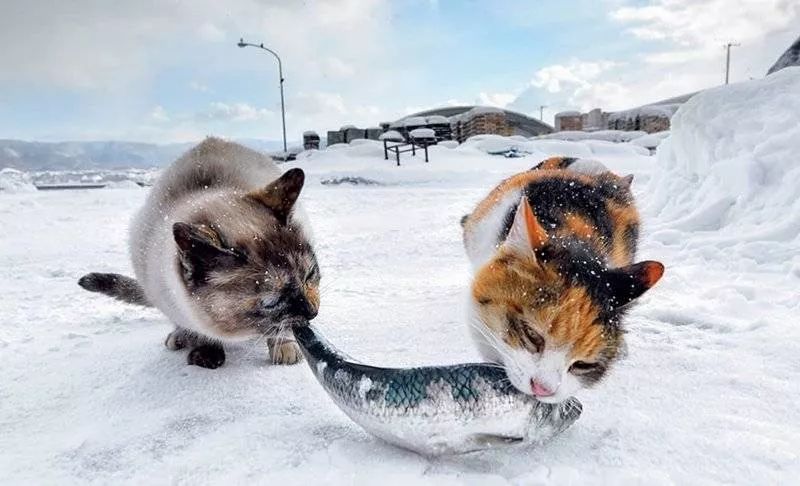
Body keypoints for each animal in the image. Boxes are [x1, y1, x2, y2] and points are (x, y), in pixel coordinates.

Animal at [78, 137, 320, 368]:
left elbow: (279, 330)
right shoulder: (179, 304)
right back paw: (178, 338)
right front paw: (206, 353)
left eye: (310, 275)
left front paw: (284, 346)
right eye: (272, 302)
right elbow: (199, 330)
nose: (312, 312)